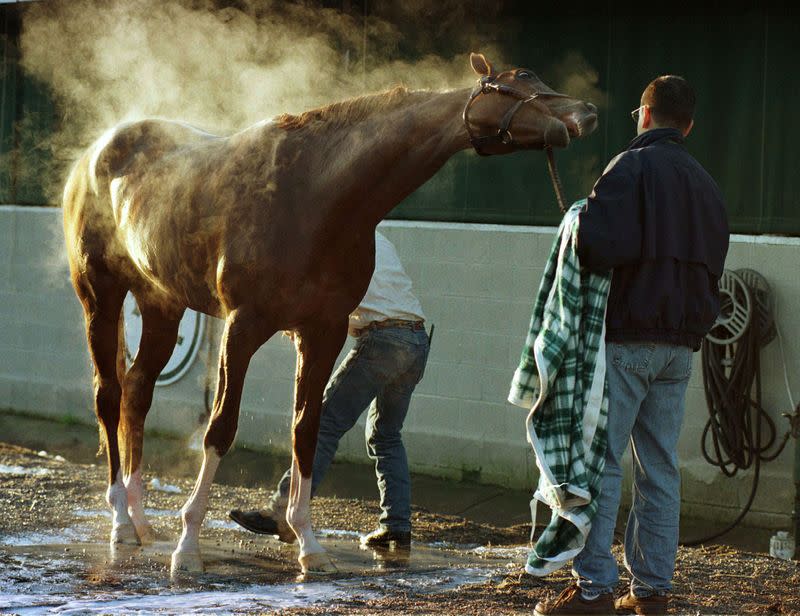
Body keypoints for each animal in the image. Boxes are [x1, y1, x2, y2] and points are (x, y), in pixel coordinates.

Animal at [62, 50, 596, 576]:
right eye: (518, 81)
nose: (586, 113)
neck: (317, 193)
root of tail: (95, 152)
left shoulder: (323, 331)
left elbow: (307, 429)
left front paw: (308, 545)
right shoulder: (242, 326)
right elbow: (221, 428)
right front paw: (188, 547)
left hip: (161, 304)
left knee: (137, 392)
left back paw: (140, 522)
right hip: (100, 297)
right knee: (109, 396)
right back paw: (120, 523)